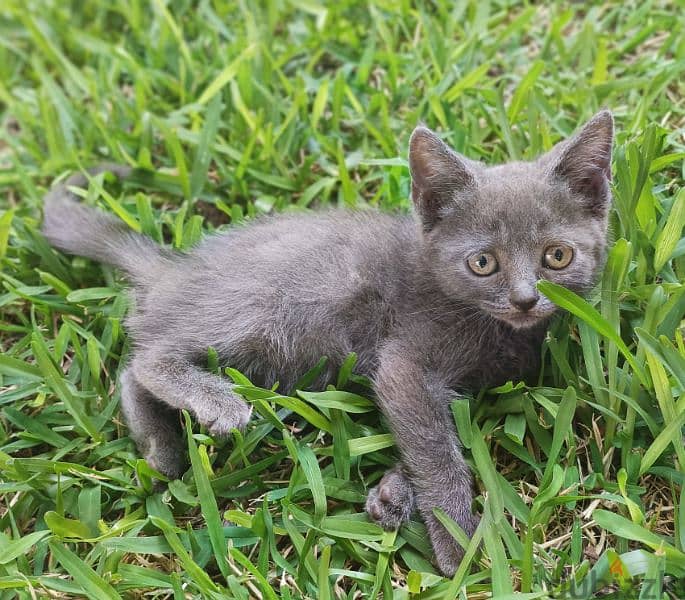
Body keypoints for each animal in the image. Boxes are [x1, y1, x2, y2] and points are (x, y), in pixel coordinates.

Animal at [41, 110, 616, 576]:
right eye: (483, 263)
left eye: (557, 257)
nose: (525, 299)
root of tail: (173, 271)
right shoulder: (406, 360)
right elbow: (434, 448)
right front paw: (461, 545)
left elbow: (423, 437)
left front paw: (392, 495)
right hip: (264, 308)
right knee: (147, 358)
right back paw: (207, 410)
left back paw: (160, 449)